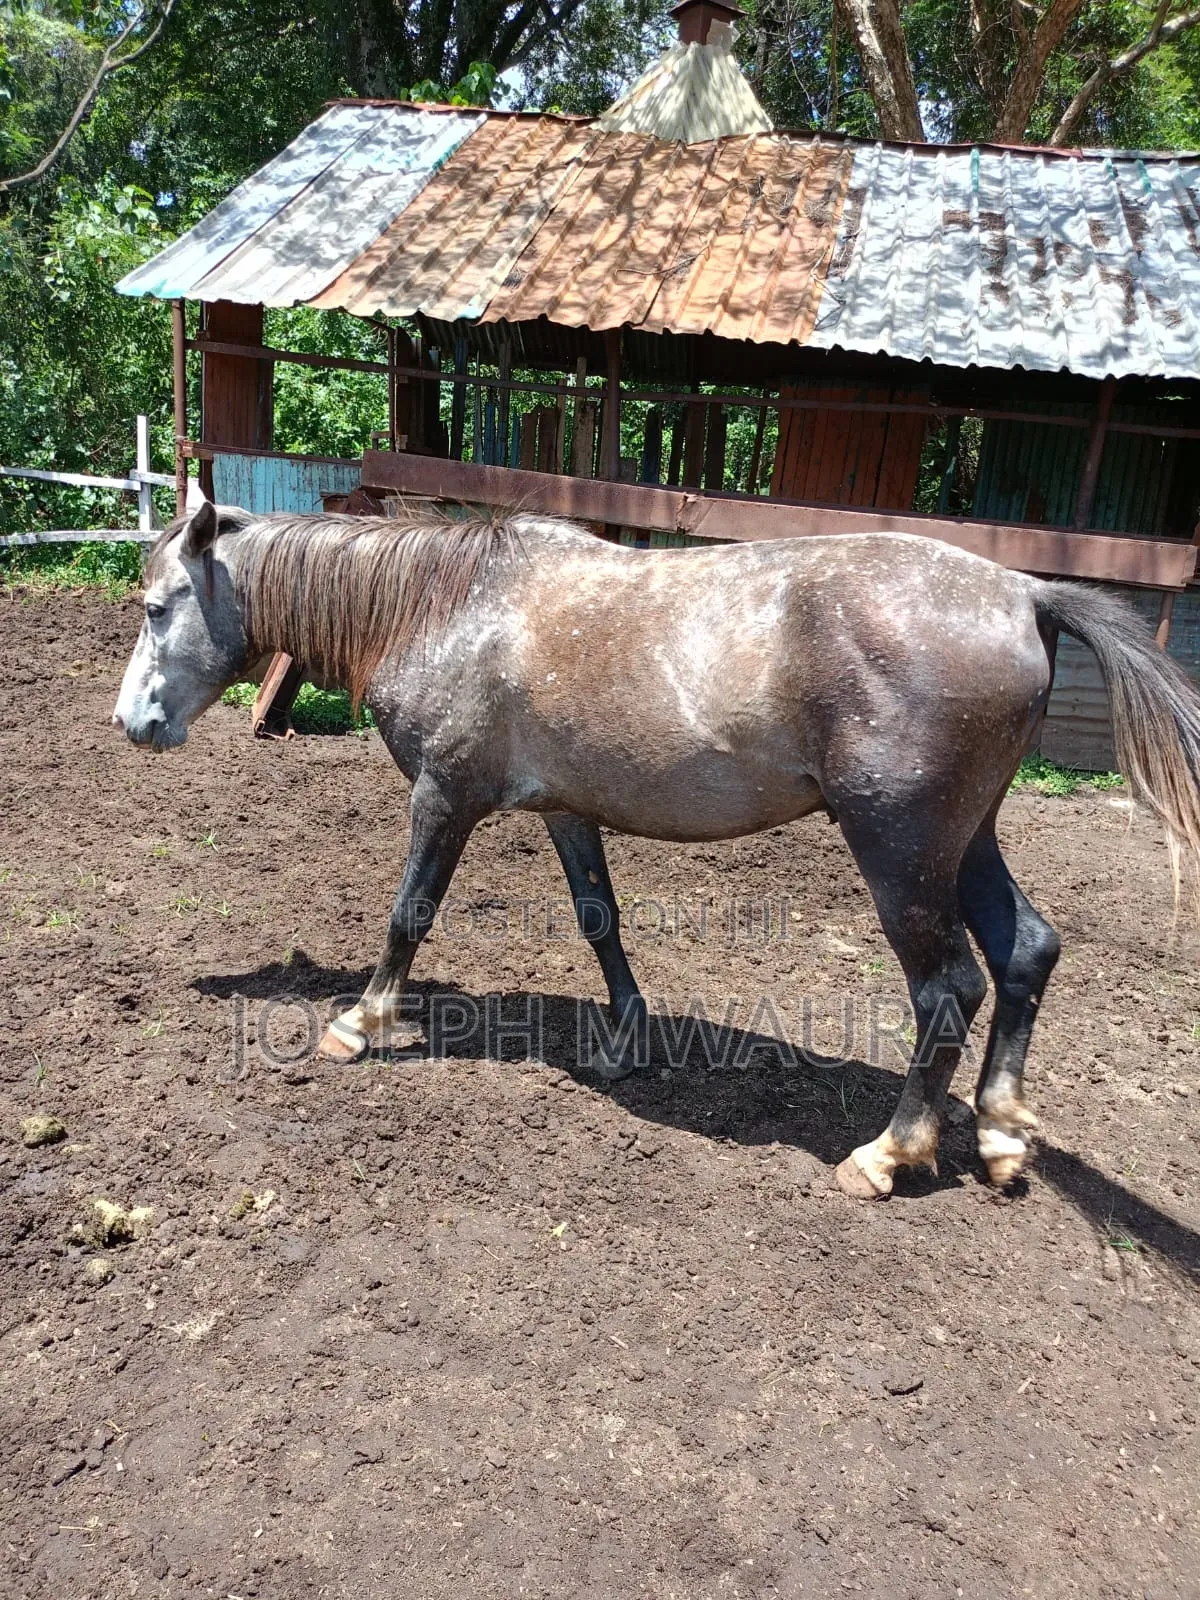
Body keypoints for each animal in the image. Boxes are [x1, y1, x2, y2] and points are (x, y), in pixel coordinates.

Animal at [112, 500, 1200, 1200]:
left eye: (159, 606)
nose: (133, 723)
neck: (449, 605)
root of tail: (1025, 594)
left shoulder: (445, 798)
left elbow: (408, 912)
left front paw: (359, 1020)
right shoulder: (564, 810)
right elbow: (600, 920)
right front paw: (627, 1039)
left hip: (901, 849)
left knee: (949, 991)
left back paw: (888, 1155)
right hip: (965, 839)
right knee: (1026, 954)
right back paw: (1004, 1134)